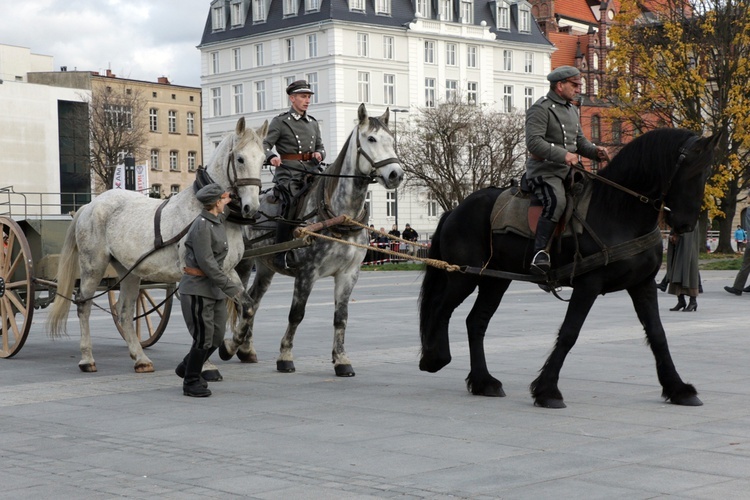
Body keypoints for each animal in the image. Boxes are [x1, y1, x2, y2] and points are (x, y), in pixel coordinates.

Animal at [48, 117, 268, 374]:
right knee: (84, 305)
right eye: (240, 159)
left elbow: (247, 306)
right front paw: (206, 363)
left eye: (263, 158)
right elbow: (201, 318)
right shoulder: (194, 271)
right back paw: (87, 358)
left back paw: (140, 358)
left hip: (128, 271)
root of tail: (90, 205)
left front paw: (230, 347)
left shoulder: (226, 270)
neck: (210, 214)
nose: (251, 208)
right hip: (93, 266)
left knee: (124, 312)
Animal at [219, 102, 406, 376]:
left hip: (265, 266)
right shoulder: (307, 272)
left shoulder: (349, 273)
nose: (395, 174)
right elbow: (296, 314)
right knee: (240, 300)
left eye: (392, 140)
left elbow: (341, 317)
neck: (340, 213)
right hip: (242, 263)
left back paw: (246, 348)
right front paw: (285, 356)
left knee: (253, 299)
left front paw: (341, 359)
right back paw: (230, 344)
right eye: (371, 139)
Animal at [424, 127, 724, 408]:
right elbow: (569, 333)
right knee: (440, 309)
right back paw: (434, 357)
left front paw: (678, 388)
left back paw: (483, 381)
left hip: (495, 280)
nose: (686, 225)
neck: (618, 211)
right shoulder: (587, 285)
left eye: (707, 173)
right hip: (464, 275)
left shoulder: (643, 285)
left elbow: (657, 334)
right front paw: (547, 390)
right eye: (693, 172)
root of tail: (455, 209)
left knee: (476, 321)